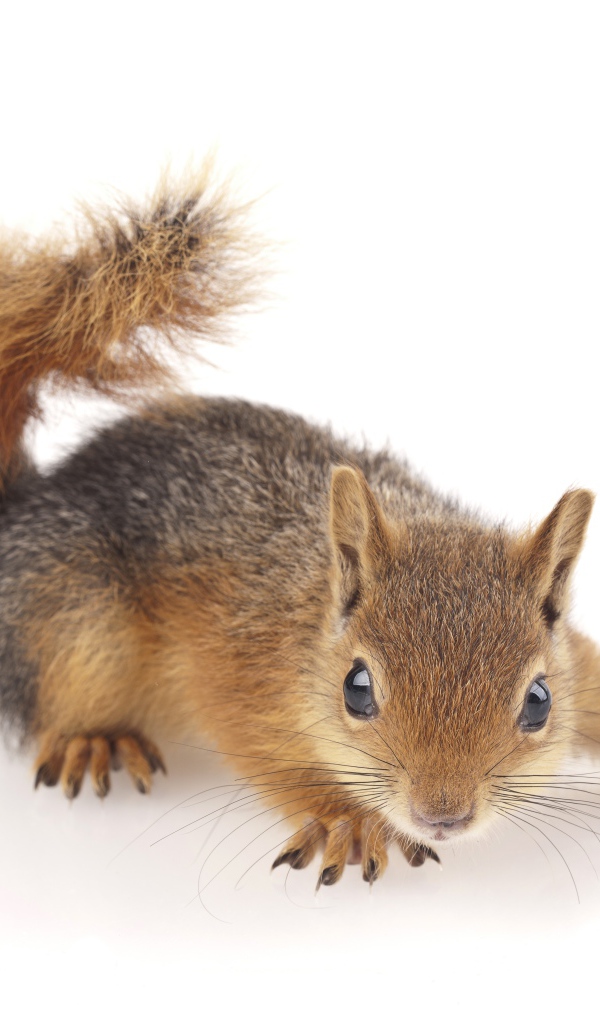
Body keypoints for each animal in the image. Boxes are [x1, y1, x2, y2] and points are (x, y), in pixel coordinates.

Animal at [1, 167, 597, 888]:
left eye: (539, 701)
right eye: (357, 690)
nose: (442, 815)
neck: (311, 611)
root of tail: (31, 498)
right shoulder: (238, 663)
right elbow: (266, 750)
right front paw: (346, 819)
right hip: (75, 620)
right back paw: (93, 738)